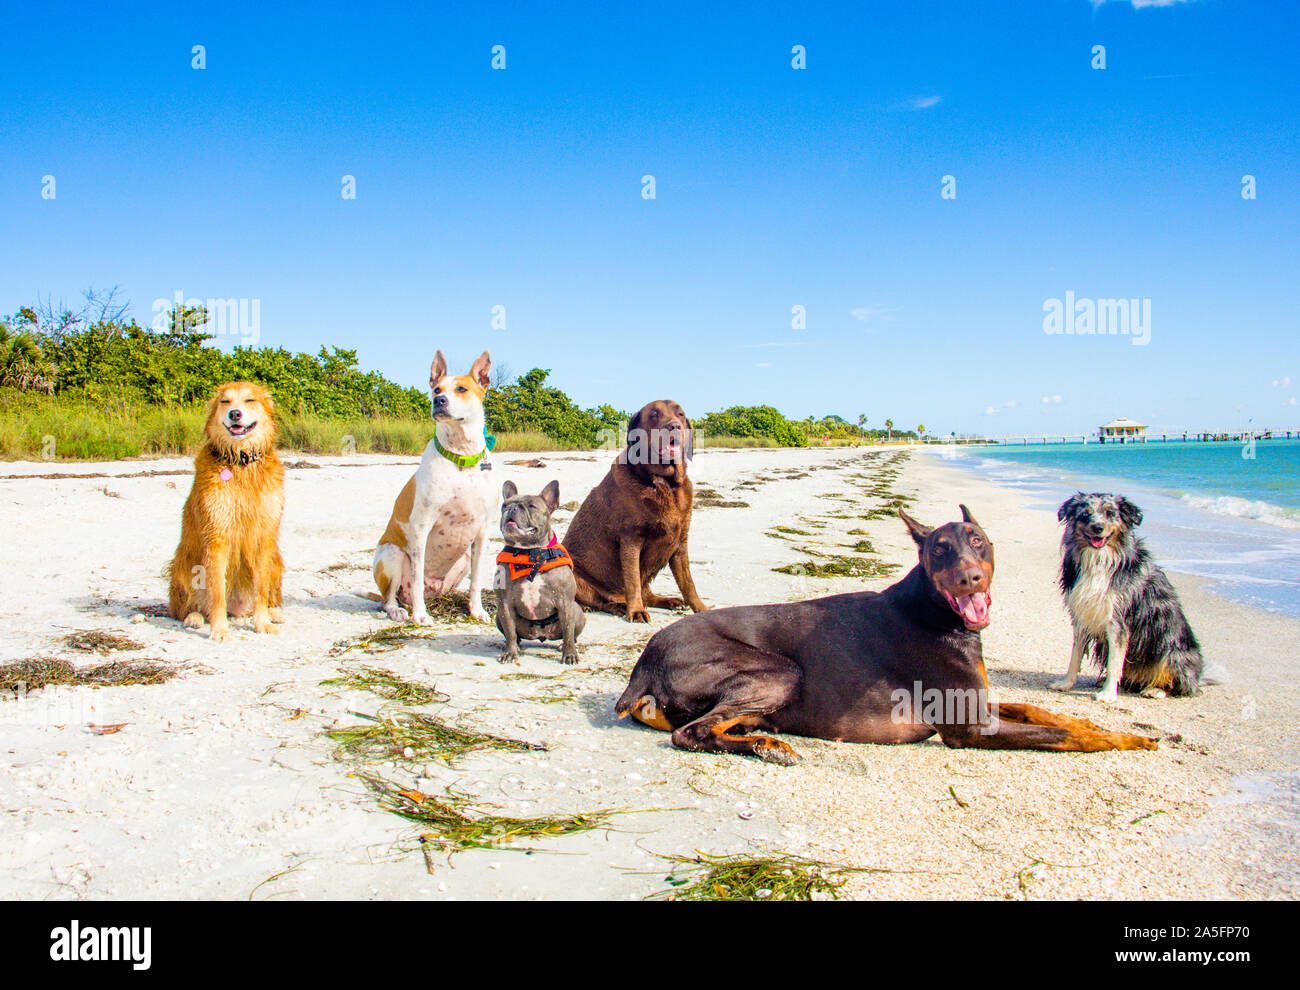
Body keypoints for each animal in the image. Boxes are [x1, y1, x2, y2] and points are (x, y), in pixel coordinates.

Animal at [169, 376, 286, 639]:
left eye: (250, 400)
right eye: (225, 401)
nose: (235, 413)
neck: (241, 462)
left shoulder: (264, 536)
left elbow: (261, 589)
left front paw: (262, 622)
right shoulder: (217, 535)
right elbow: (216, 592)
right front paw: (219, 629)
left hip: (276, 560)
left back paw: (274, 613)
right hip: (183, 564)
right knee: (183, 608)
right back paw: (194, 617)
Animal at [379, 350, 499, 621]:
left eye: (462, 389)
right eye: (436, 389)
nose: (439, 401)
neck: (461, 456)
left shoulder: (482, 532)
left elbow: (477, 580)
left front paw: (477, 610)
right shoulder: (421, 527)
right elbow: (416, 575)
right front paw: (420, 616)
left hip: (463, 558)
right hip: (391, 554)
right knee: (390, 597)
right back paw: (400, 610)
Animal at [1050, 491, 1201, 696]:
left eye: (1110, 513)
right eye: (1085, 514)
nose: (1098, 527)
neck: (1099, 559)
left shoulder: (1118, 620)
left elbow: (1115, 662)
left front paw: (1108, 694)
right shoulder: (1082, 614)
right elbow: (1075, 655)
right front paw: (1066, 683)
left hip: (1170, 647)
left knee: (1179, 683)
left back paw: (1155, 690)